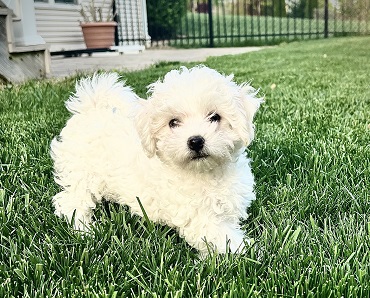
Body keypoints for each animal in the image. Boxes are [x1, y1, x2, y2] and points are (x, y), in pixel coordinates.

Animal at [50, 66, 262, 254]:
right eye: (173, 122)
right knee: (71, 201)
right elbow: (222, 238)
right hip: (82, 173)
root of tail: (90, 109)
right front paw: (251, 252)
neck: (206, 173)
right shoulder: (198, 217)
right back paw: (84, 231)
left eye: (215, 117)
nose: (195, 141)